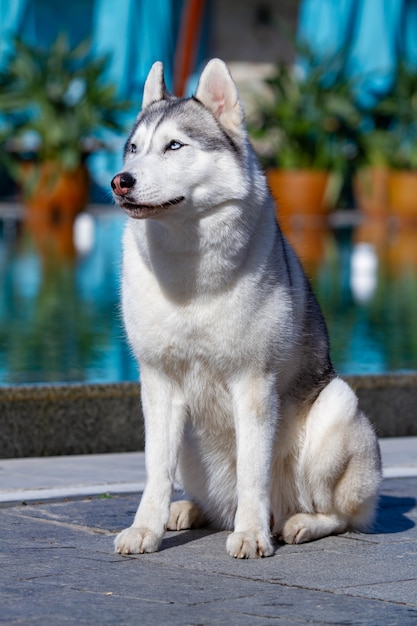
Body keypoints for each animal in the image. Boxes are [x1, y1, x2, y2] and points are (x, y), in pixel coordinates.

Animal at [109, 58, 380, 556]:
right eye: (133, 149)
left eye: (174, 145)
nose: (120, 181)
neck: (190, 271)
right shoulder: (158, 383)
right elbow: (156, 471)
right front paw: (144, 528)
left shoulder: (253, 383)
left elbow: (253, 470)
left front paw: (252, 534)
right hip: (193, 449)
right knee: (210, 499)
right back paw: (189, 510)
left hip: (338, 408)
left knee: (339, 514)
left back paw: (296, 523)